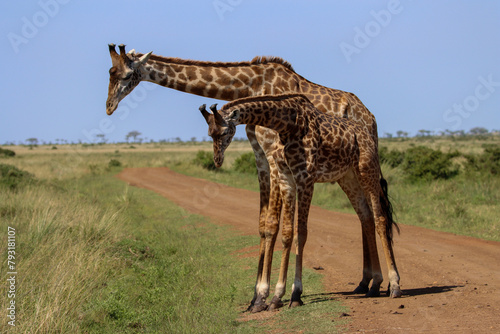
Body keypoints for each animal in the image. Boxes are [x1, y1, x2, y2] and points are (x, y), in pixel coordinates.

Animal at [199, 93, 402, 308]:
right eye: (210, 133)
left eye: (224, 132)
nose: (217, 160)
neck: (287, 124)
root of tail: (368, 134)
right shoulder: (287, 178)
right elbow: (287, 233)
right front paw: (277, 295)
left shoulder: (305, 179)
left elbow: (301, 234)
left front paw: (295, 294)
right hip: (349, 178)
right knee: (367, 218)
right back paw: (375, 284)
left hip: (367, 171)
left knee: (380, 219)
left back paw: (395, 285)